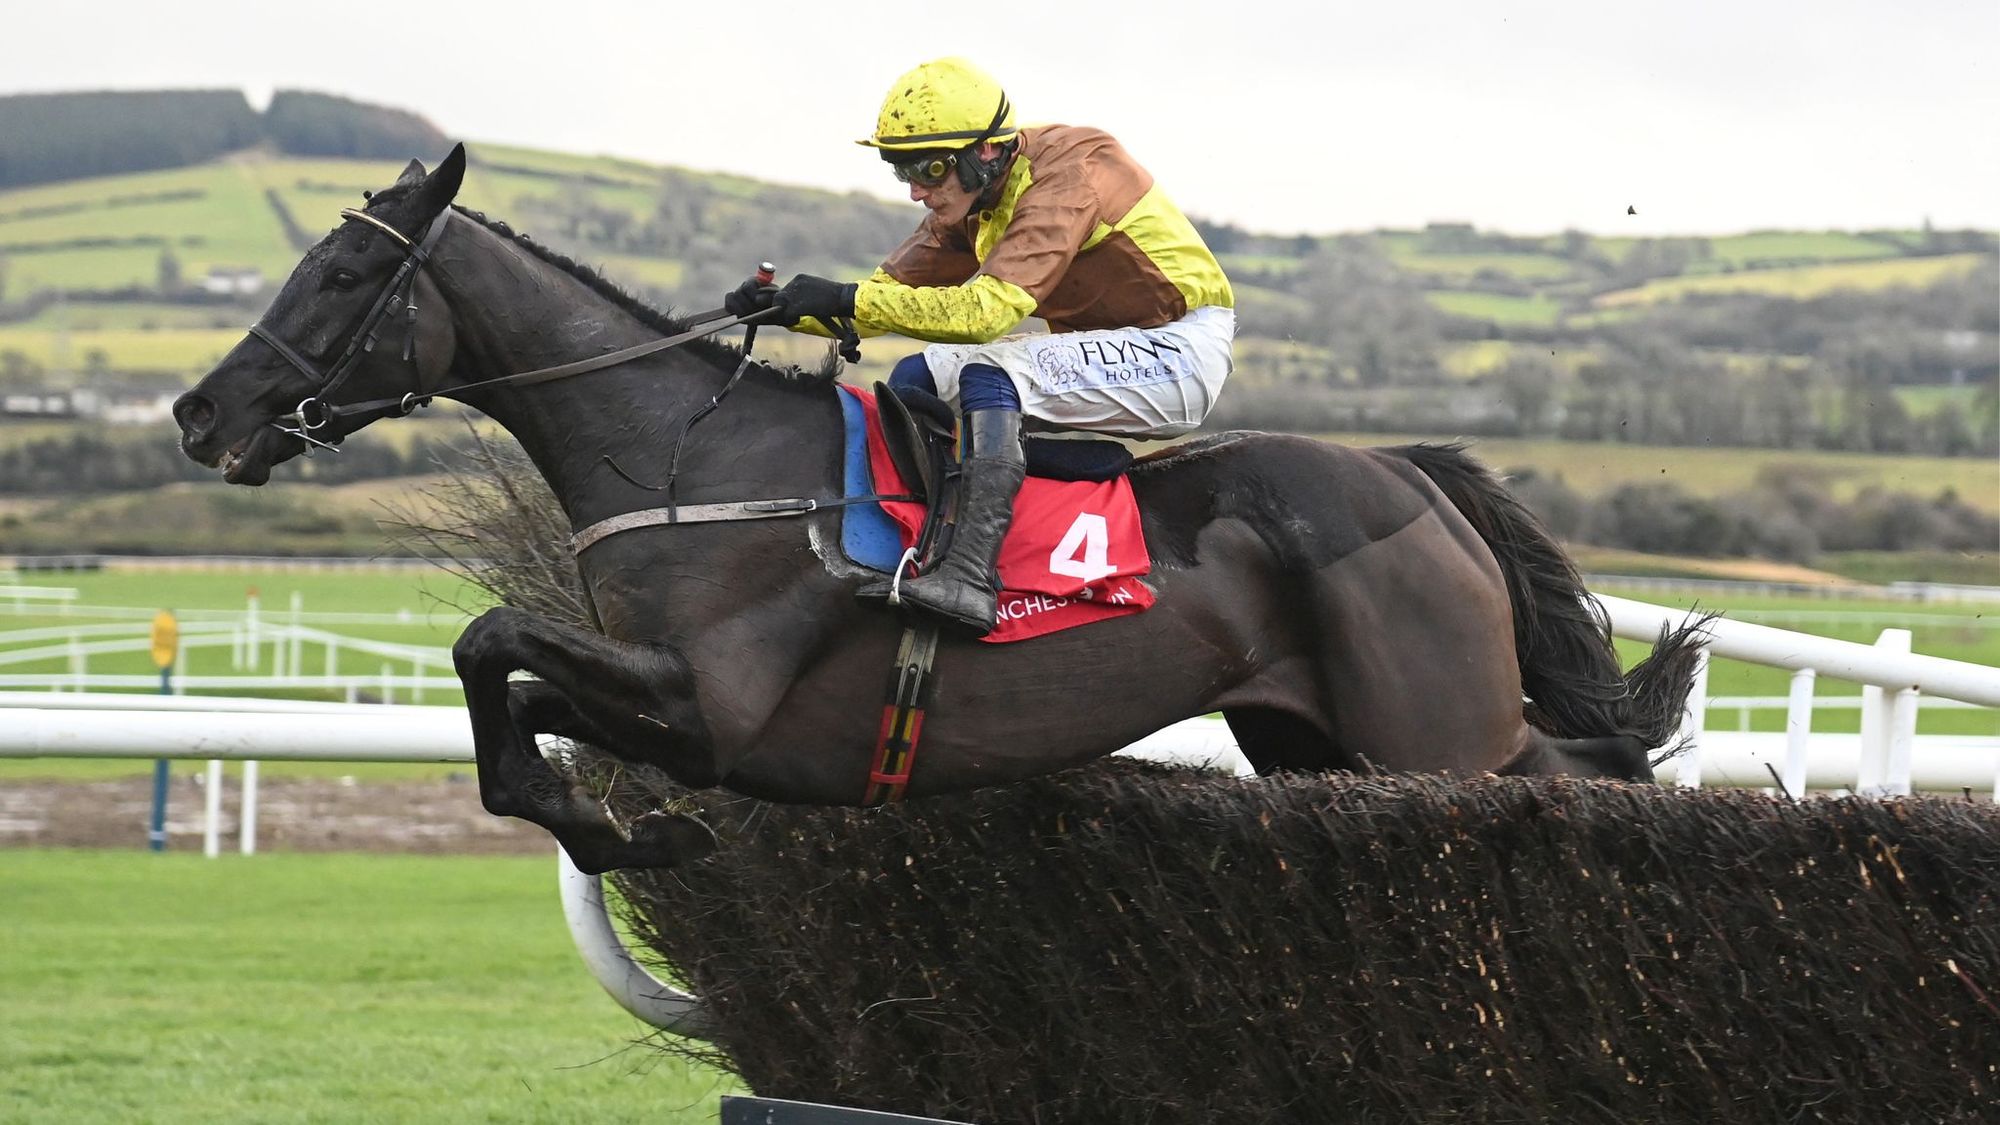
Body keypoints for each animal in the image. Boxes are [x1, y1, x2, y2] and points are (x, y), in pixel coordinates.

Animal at [176, 144, 1704, 872]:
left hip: (1433, 730)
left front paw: (631, 831)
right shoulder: (660, 698)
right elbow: (512, 706)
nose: (200, 413)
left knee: (1583, 774)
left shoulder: (714, 704)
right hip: (1315, 745)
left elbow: (490, 641)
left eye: (336, 277)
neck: (692, 461)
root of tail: (1409, 474)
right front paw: (626, 829)